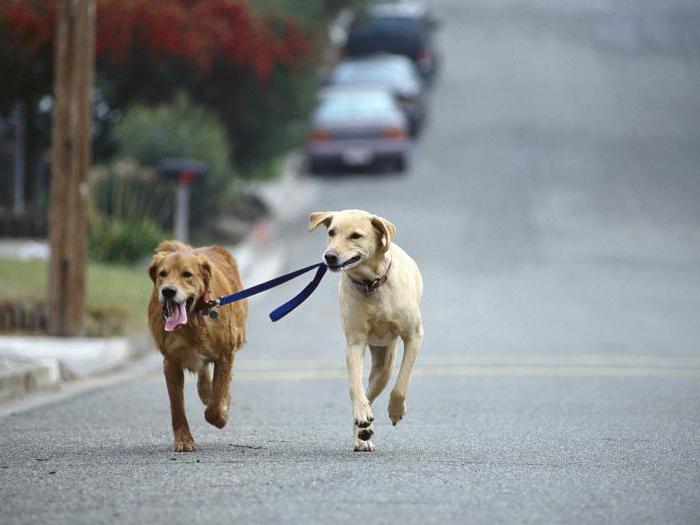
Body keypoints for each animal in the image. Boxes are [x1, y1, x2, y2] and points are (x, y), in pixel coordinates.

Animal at [308, 209, 424, 450]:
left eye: (355, 235)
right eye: (331, 232)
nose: (329, 256)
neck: (372, 284)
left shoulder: (414, 336)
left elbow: (401, 383)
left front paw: (395, 411)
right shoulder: (355, 342)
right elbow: (355, 385)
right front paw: (362, 416)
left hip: (384, 366)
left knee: (378, 387)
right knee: (365, 395)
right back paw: (362, 431)